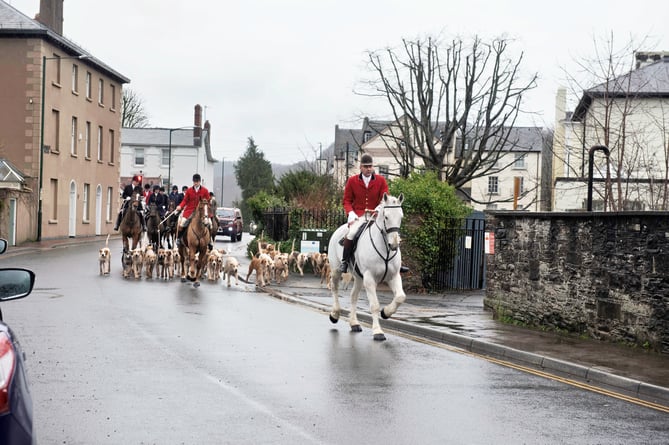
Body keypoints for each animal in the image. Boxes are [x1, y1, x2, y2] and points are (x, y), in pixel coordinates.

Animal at [326, 191, 404, 340]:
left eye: (401, 216)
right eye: (386, 217)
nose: (394, 245)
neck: (385, 250)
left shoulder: (393, 276)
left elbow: (400, 297)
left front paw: (386, 312)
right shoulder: (369, 278)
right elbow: (374, 305)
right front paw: (378, 331)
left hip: (358, 277)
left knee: (353, 296)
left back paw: (354, 323)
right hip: (336, 270)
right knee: (334, 288)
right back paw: (335, 314)